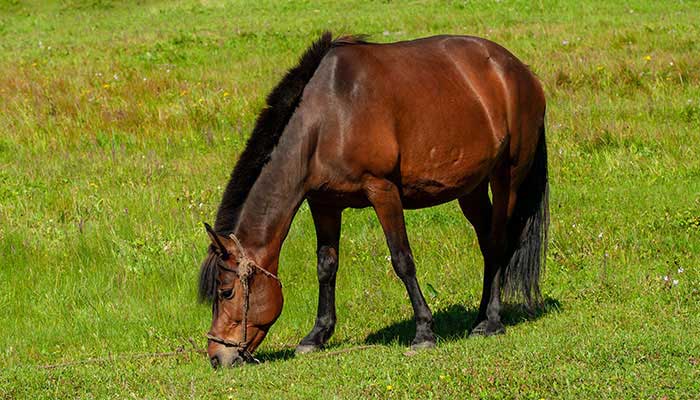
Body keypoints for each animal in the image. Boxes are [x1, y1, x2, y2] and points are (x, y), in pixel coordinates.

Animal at [197, 31, 548, 368]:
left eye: (226, 292)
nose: (217, 356)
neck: (329, 116)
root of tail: (521, 72)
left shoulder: (383, 191)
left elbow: (402, 260)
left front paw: (424, 331)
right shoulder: (324, 203)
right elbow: (326, 266)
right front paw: (316, 335)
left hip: (507, 178)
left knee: (499, 242)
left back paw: (492, 321)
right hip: (470, 188)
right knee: (488, 244)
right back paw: (479, 317)